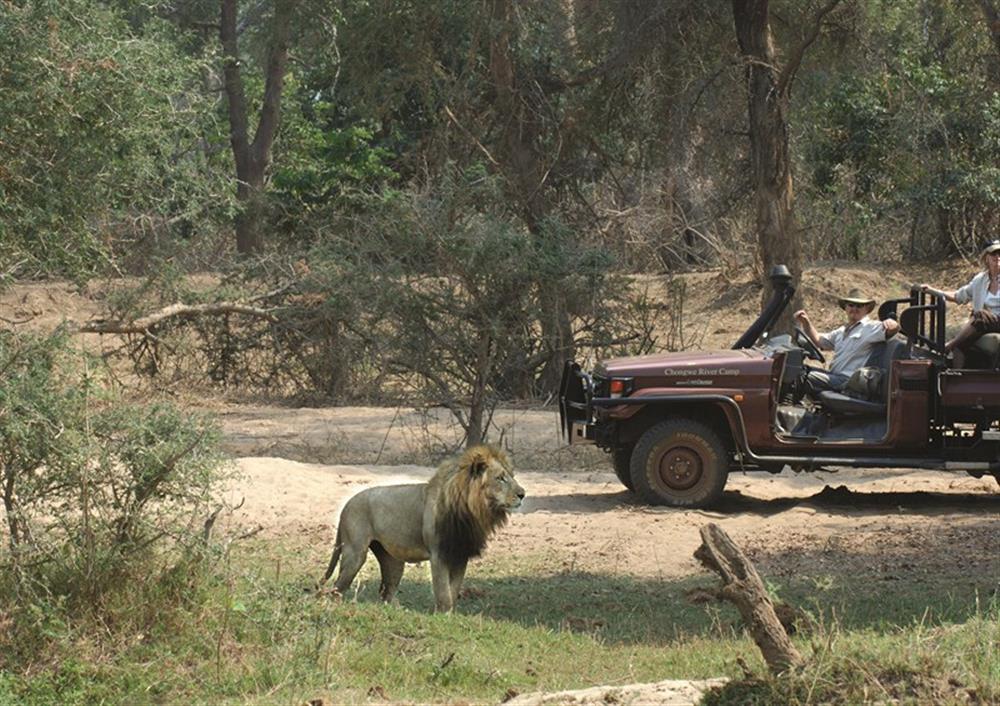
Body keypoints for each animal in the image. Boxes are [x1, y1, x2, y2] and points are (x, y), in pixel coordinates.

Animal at [318, 442, 524, 608]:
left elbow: (453, 590)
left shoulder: (460, 554)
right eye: (500, 478)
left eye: (512, 476)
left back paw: (398, 610)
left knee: (385, 592)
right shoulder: (439, 555)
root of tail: (346, 505)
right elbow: (444, 593)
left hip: (392, 561)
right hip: (355, 553)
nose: (523, 494)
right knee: (337, 588)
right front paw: (443, 615)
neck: (472, 512)